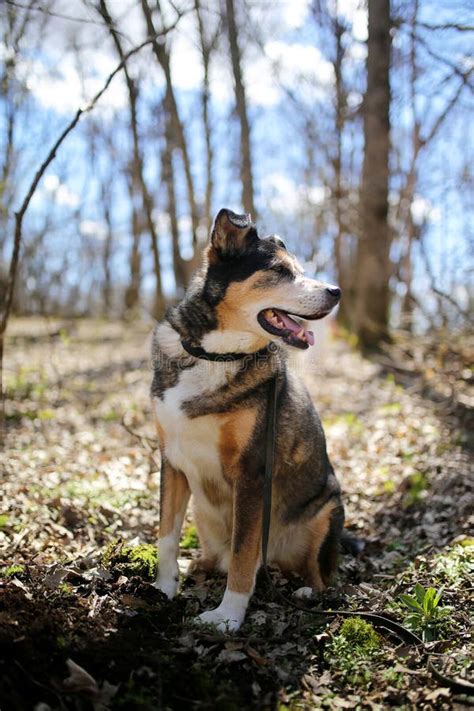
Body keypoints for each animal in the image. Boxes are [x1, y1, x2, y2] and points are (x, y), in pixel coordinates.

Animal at [152, 209, 344, 632]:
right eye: (280, 271)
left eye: (299, 270)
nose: (336, 291)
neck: (214, 356)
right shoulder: (171, 461)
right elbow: (166, 534)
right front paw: (162, 587)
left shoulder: (252, 472)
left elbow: (244, 552)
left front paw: (227, 616)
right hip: (203, 513)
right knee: (222, 555)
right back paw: (200, 565)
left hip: (327, 509)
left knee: (321, 576)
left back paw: (306, 592)